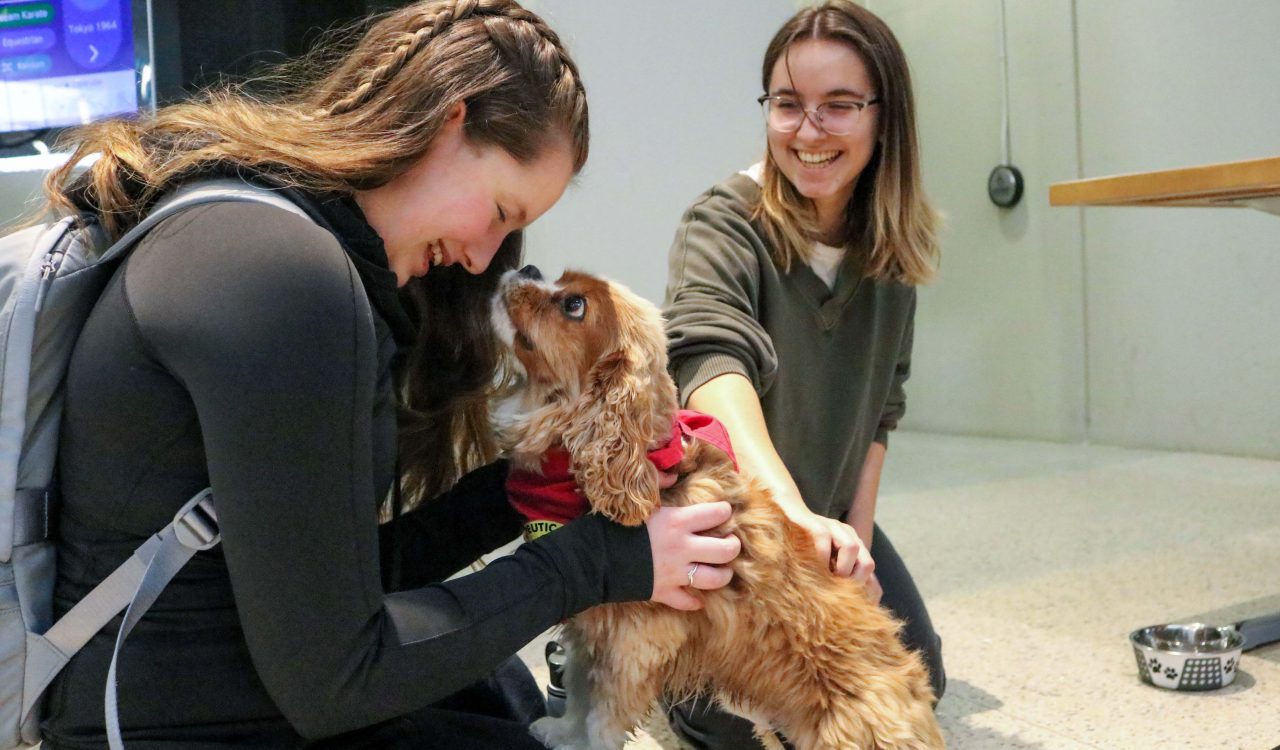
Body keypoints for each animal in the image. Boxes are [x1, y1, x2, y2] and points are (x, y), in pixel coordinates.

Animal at [488, 266, 942, 742]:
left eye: (574, 305)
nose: (527, 268)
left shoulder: (631, 649)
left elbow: (599, 720)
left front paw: (576, 742)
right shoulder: (590, 632)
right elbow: (577, 695)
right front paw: (560, 733)